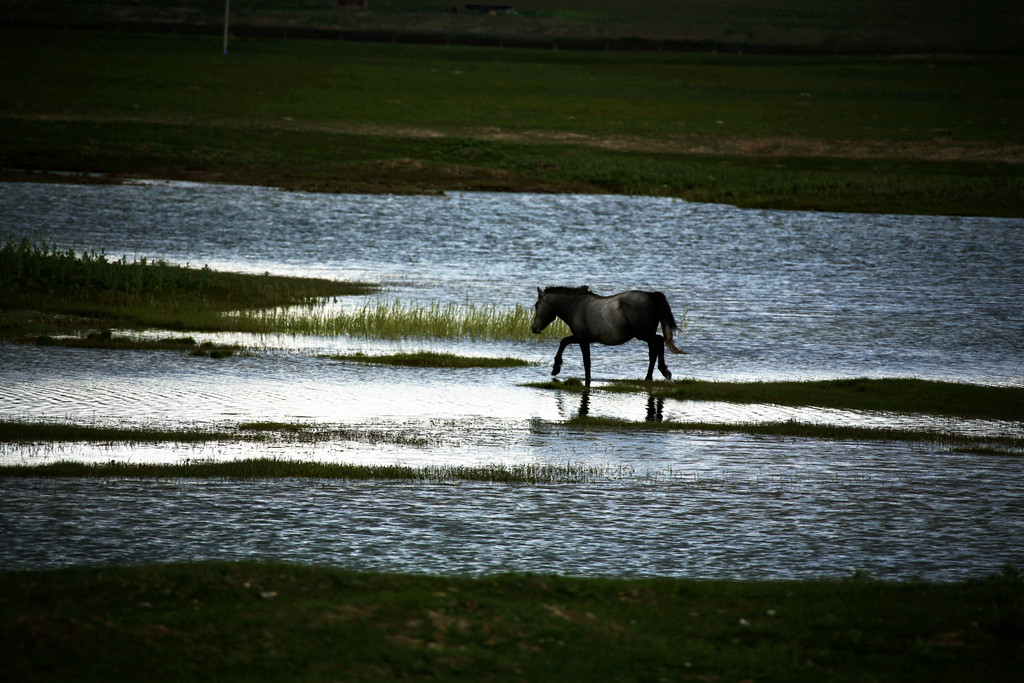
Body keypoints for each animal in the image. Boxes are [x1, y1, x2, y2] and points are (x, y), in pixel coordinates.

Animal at [528, 286, 688, 387]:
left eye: (537, 305)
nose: (534, 328)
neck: (576, 307)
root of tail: (651, 296)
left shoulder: (582, 339)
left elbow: (586, 361)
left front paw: (559, 369)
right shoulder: (580, 338)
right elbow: (564, 341)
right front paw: (556, 368)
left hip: (644, 334)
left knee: (659, 342)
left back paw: (665, 372)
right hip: (646, 335)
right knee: (653, 351)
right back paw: (649, 377)